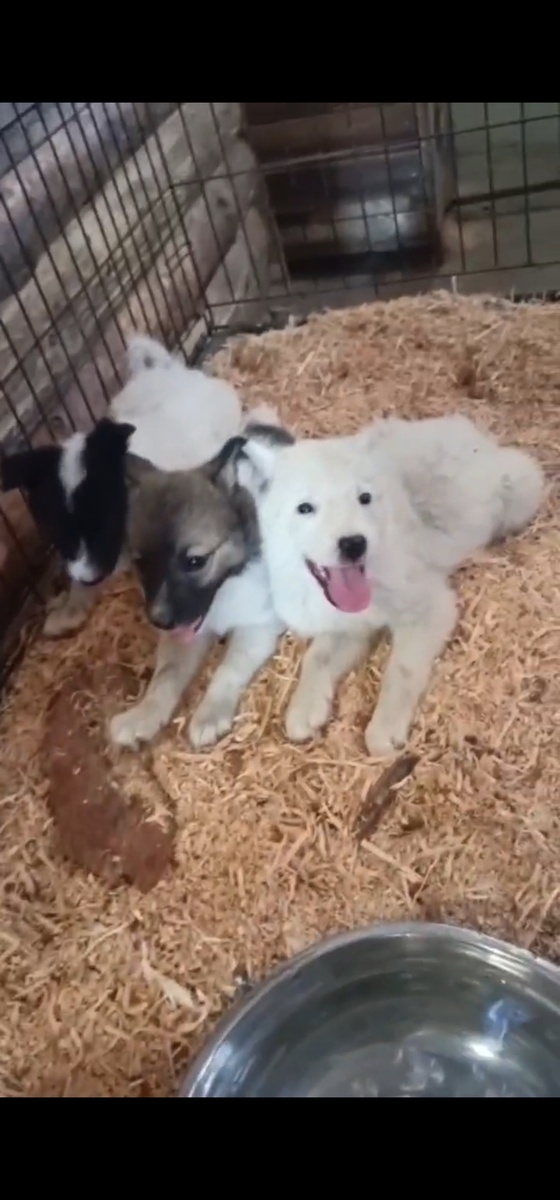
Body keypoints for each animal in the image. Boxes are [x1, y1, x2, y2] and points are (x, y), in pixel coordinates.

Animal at [232, 413, 545, 757]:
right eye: (305, 508)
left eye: (364, 498)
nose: (354, 544)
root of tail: (469, 428)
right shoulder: (350, 621)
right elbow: (317, 657)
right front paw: (304, 709)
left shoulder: (430, 606)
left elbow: (402, 669)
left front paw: (385, 728)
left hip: (520, 489)